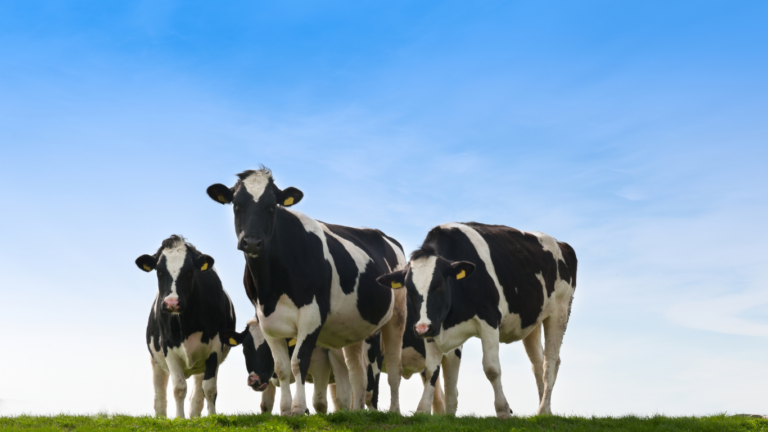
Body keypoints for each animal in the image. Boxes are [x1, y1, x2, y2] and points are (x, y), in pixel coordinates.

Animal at [135, 236, 236, 418]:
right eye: (159, 271)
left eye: (190, 271)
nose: (172, 303)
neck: (186, 325)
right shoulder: (167, 346)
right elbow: (178, 387)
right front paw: (179, 419)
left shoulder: (215, 346)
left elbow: (209, 389)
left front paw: (212, 417)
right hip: (156, 361)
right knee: (159, 394)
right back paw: (161, 417)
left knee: (198, 394)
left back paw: (195, 417)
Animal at [204, 168, 408, 416]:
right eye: (236, 204)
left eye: (272, 206)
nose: (251, 242)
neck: (271, 288)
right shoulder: (265, 320)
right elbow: (282, 368)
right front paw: (284, 410)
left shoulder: (312, 315)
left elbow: (298, 361)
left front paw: (298, 408)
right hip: (355, 328)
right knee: (356, 371)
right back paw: (356, 411)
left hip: (397, 316)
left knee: (394, 366)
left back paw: (395, 410)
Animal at [378, 223, 576, 418]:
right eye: (409, 289)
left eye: (439, 285)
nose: (421, 329)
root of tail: (561, 244)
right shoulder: (433, 327)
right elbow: (432, 370)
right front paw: (424, 411)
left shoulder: (489, 319)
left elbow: (492, 368)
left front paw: (503, 410)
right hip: (532, 322)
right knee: (538, 364)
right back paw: (545, 411)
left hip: (560, 311)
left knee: (550, 362)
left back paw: (543, 409)